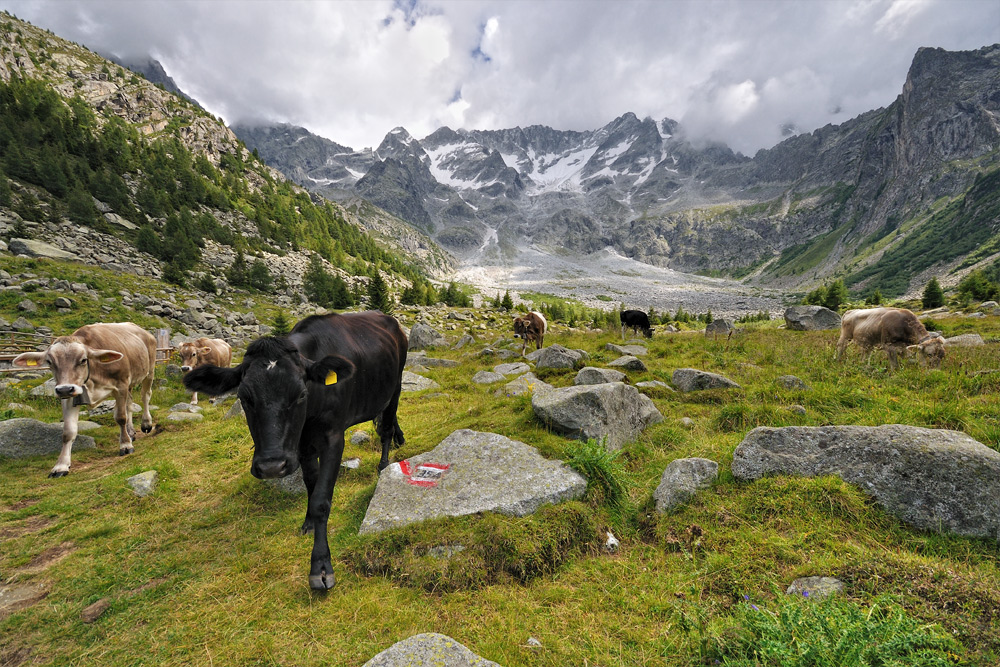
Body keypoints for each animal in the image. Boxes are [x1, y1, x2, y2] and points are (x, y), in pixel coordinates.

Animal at [11, 326, 156, 478]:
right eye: (50, 362)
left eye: (83, 360)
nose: (64, 389)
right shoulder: (70, 396)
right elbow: (68, 432)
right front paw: (61, 465)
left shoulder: (121, 385)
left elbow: (121, 417)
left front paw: (126, 445)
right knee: (129, 403)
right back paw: (131, 432)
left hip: (149, 371)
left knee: (145, 396)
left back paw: (146, 423)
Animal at [184, 312, 406, 588]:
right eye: (244, 398)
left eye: (300, 394)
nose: (271, 466)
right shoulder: (300, 444)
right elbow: (311, 483)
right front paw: (308, 523)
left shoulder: (333, 437)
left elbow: (321, 499)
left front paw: (321, 566)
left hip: (395, 386)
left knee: (386, 426)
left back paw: (383, 464)